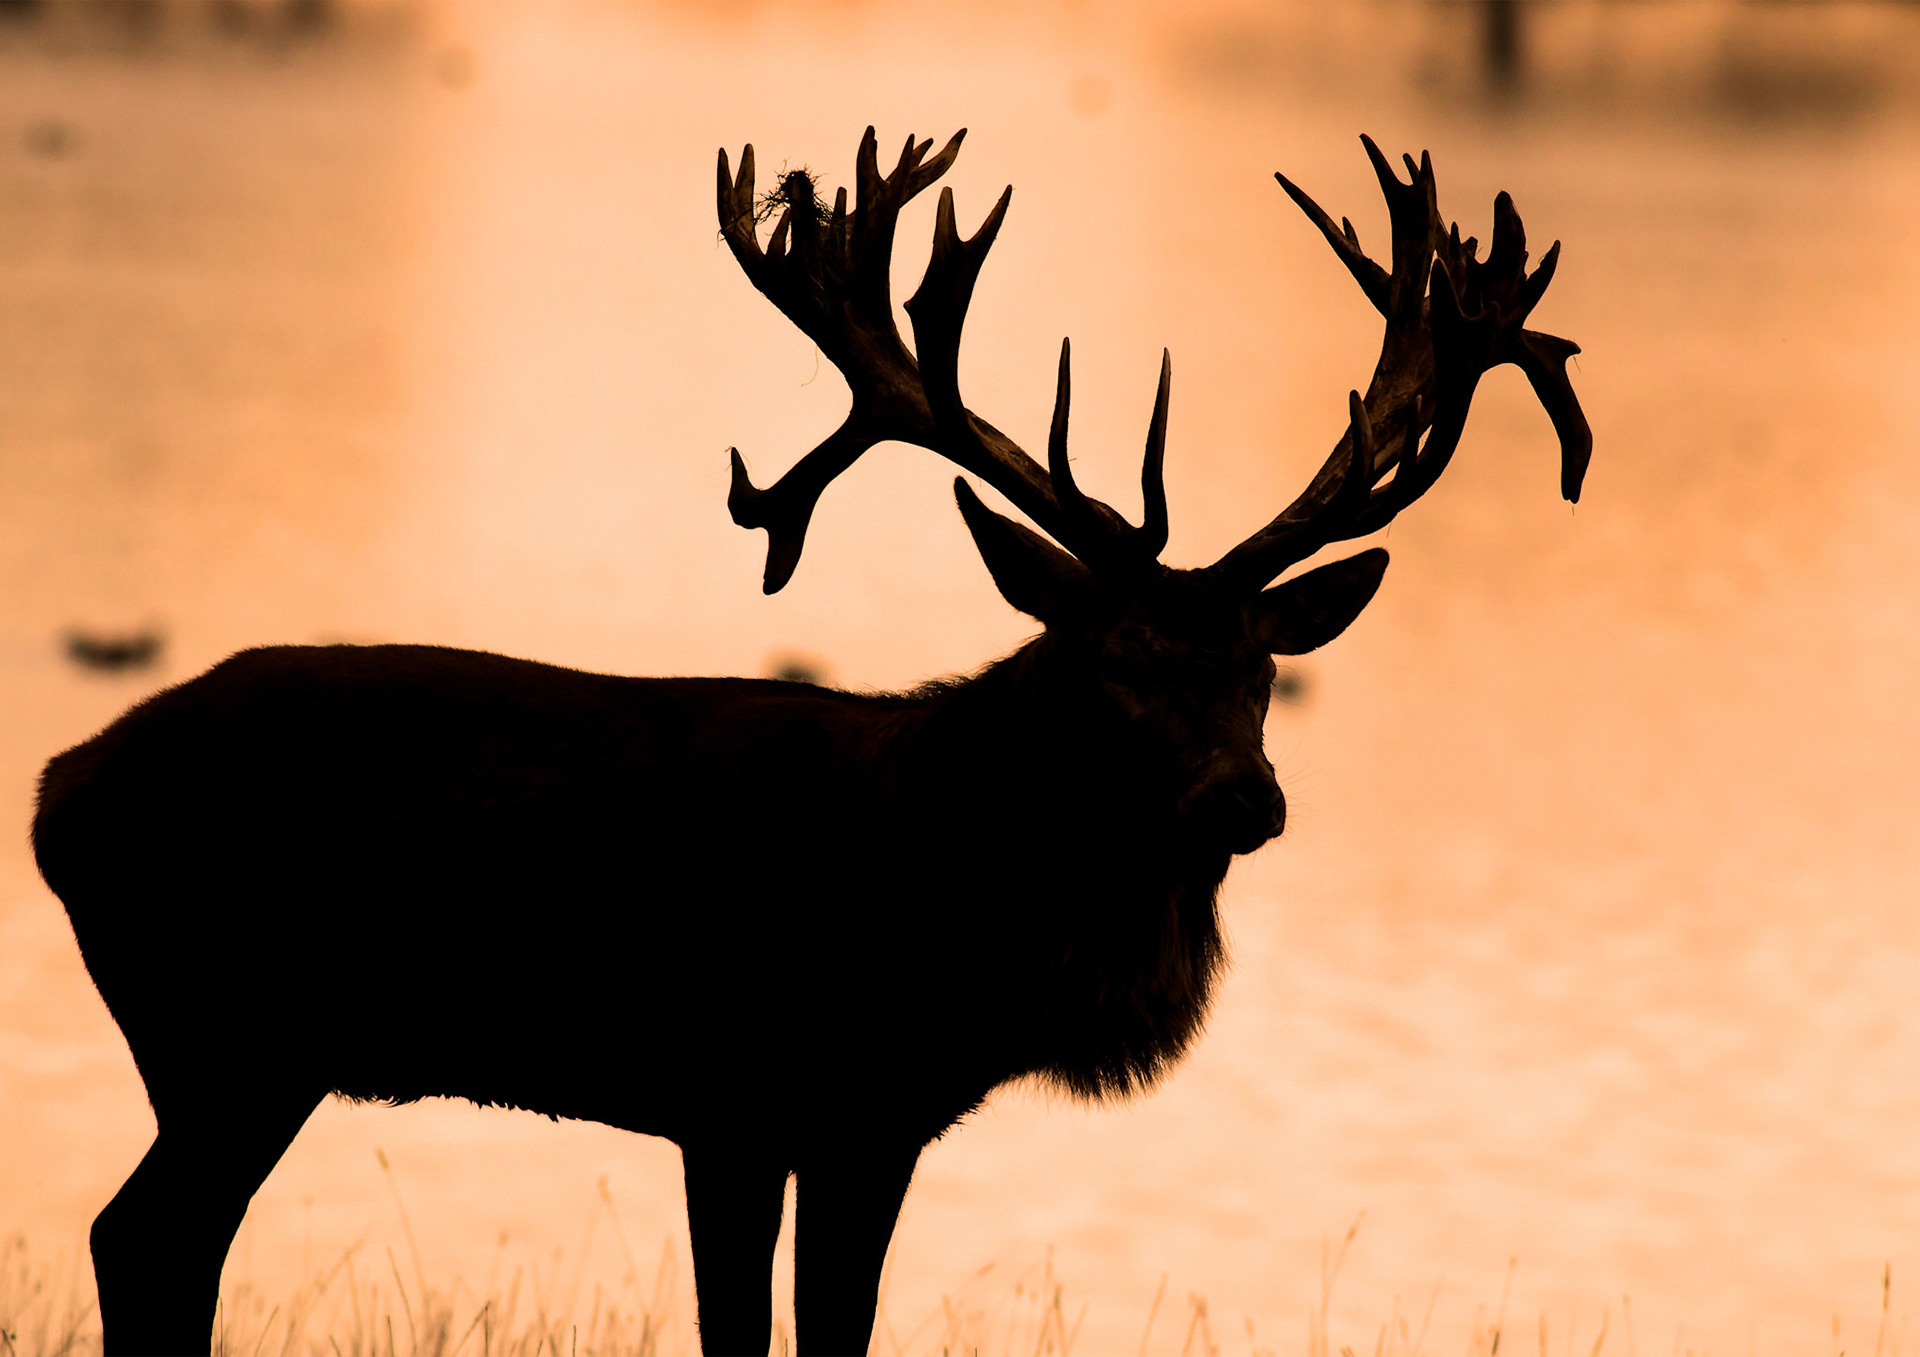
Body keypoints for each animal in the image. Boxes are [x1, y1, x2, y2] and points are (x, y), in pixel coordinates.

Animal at [32, 127, 1589, 1357]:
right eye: (1115, 659)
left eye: (1262, 669)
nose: (1244, 799)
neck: (940, 921)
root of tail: (56, 789)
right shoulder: (733, 1090)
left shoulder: (874, 1120)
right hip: (227, 1028)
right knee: (136, 1237)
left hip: (236, 1046)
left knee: (158, 1241)